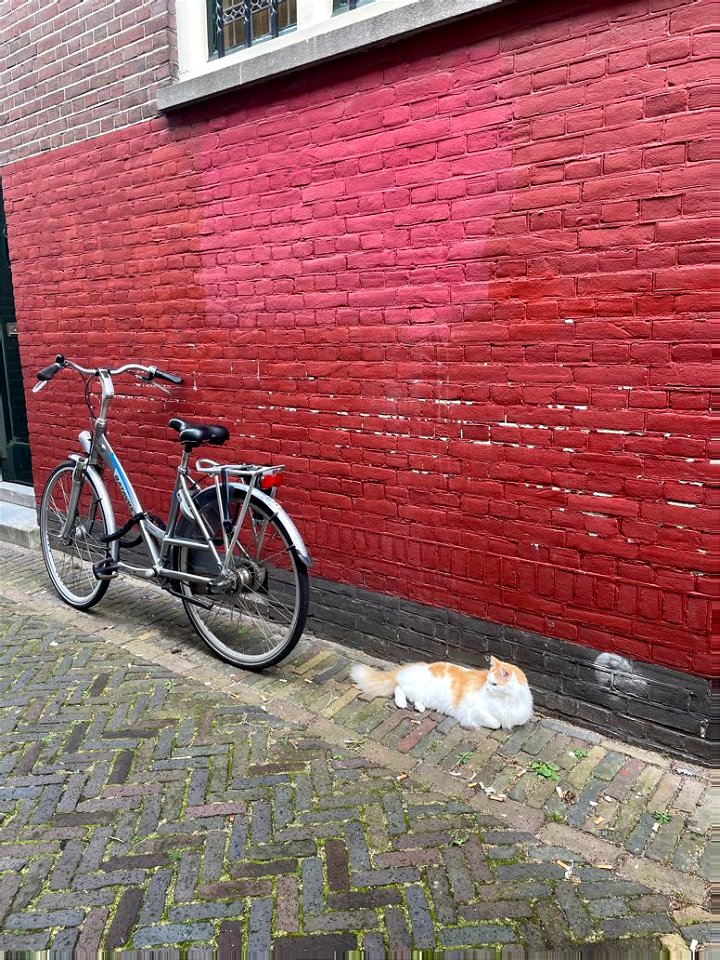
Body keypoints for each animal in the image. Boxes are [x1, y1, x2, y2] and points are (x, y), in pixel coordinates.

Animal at [352, 656, 532, 732]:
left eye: (493, 684)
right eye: (488, 682)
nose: (487, 689)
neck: (506, 700)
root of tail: (421, 665)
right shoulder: (475, 710)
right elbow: (496, 723)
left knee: (413, 697)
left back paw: (419, 707)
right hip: (415, 687)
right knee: (398, 687)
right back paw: (402, 703)